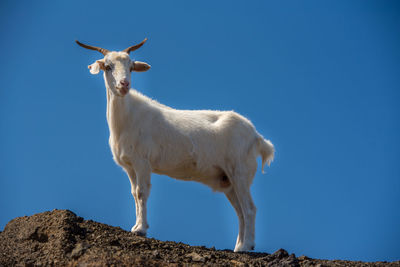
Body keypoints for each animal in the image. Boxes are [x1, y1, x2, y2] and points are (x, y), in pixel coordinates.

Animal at [76, 38, 274, 253]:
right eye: (108, 66)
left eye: (131, 66)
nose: (124, 84)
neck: (127, 118)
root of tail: (257, 137)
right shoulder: (129, 166)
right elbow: (134, 194)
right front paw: (136, 226)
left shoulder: (143, 162)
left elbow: (142, 192)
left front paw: (141, 230)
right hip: (227, 180)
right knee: (240, 212)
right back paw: (238, 245)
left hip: (240, 171)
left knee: (250, 209)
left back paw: (246, 246)